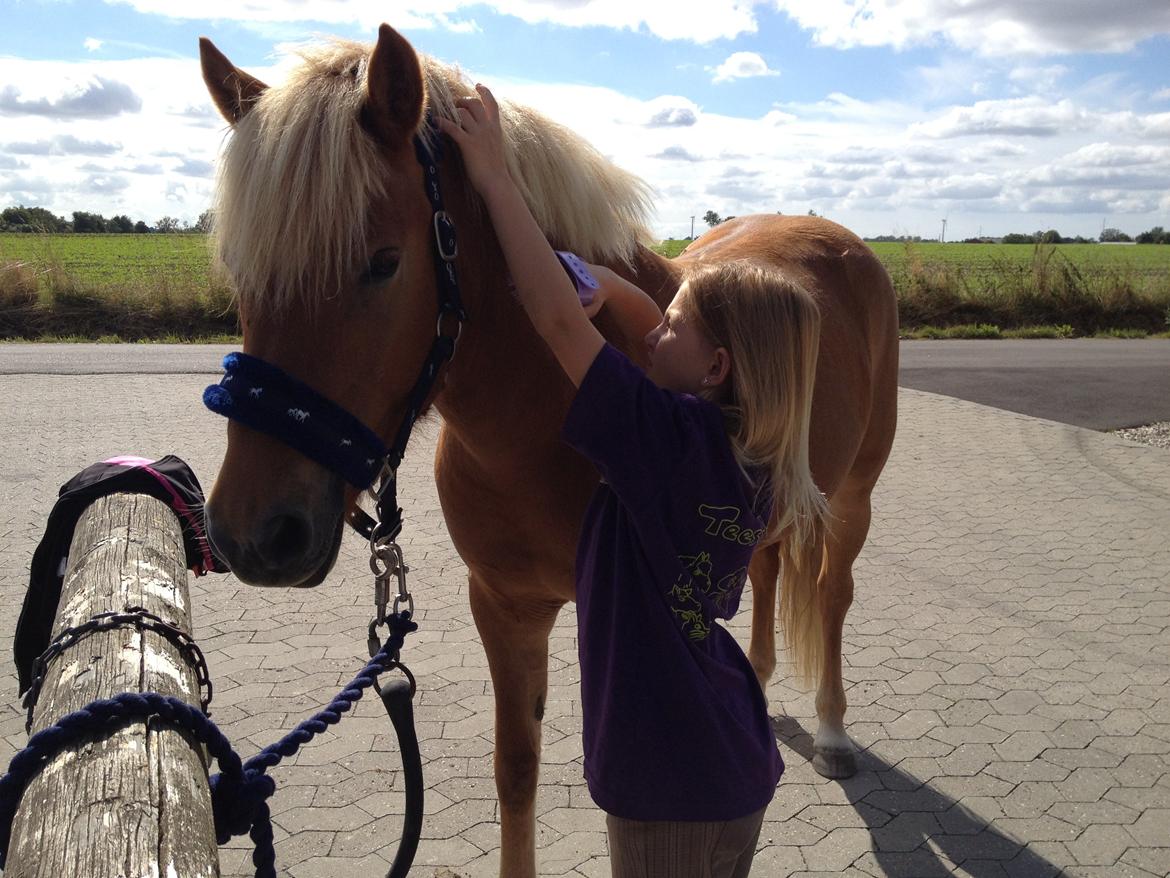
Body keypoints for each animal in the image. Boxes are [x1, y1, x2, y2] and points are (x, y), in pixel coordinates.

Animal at [198, 22, 893, 878]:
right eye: (241, 272)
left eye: (383, 263)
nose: (253, 534)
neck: (540, 418)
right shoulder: (505, 607)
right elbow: (516, 769)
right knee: (764, 572)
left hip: (853, 499)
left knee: (832, 593)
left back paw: (830, 729)